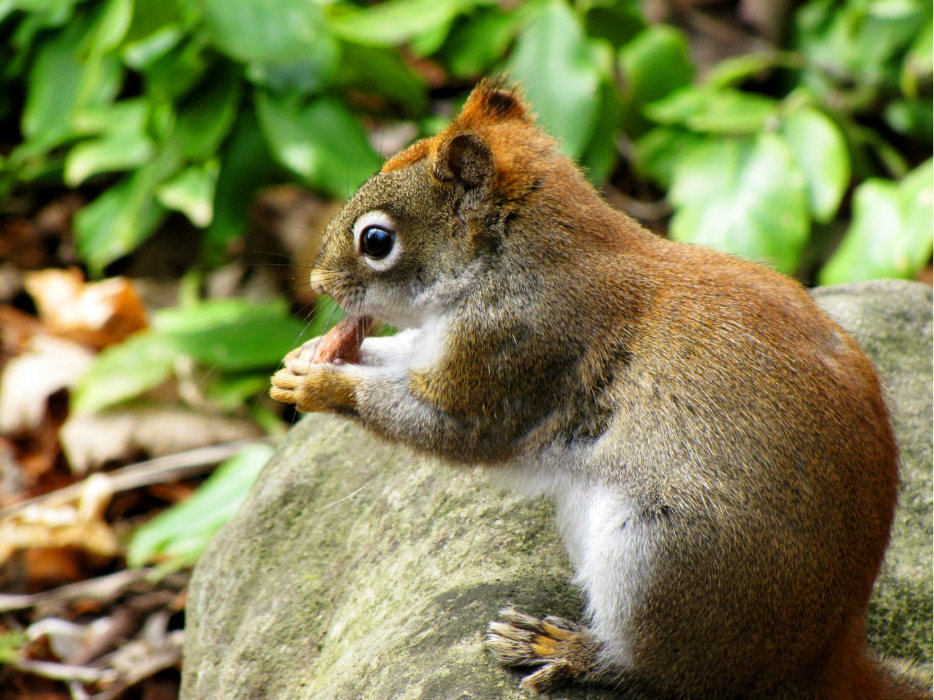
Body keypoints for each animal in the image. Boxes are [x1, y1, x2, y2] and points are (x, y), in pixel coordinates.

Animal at [268, 79, 928, 696]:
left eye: (376, 241)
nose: (315, 280)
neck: (518, 260)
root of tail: (820, 655)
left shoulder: (517, 353)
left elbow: (450, 429)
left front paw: (326, 385)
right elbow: (401, 354)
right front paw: (305, 359)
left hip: (661, 557)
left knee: (659, 671)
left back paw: (565, 649)